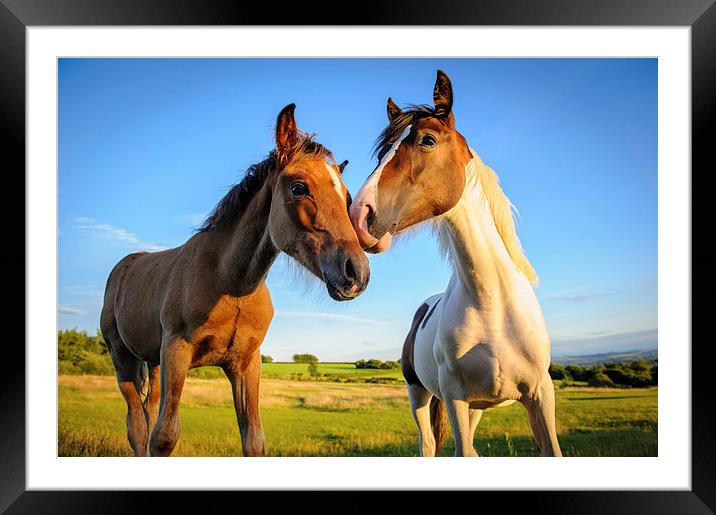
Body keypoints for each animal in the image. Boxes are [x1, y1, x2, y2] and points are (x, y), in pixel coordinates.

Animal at [100, 104, 370, 456]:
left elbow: (253, 440)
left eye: (346, 197)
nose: (357, 272)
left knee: (147, 410)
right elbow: (164, 436)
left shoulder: (246, 364)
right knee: (137, 426)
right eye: (298, 187)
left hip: (152, 360)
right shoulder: (176, 352)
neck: (231, 284)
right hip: (122, 356)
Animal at [350, 72, 564, 460]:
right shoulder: (455, 398)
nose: (358, 215)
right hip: (418, 394)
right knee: (428, 443)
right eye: (381, 153)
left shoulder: (540, 395)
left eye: (428, 140)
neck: (493, 304)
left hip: (478, 406)